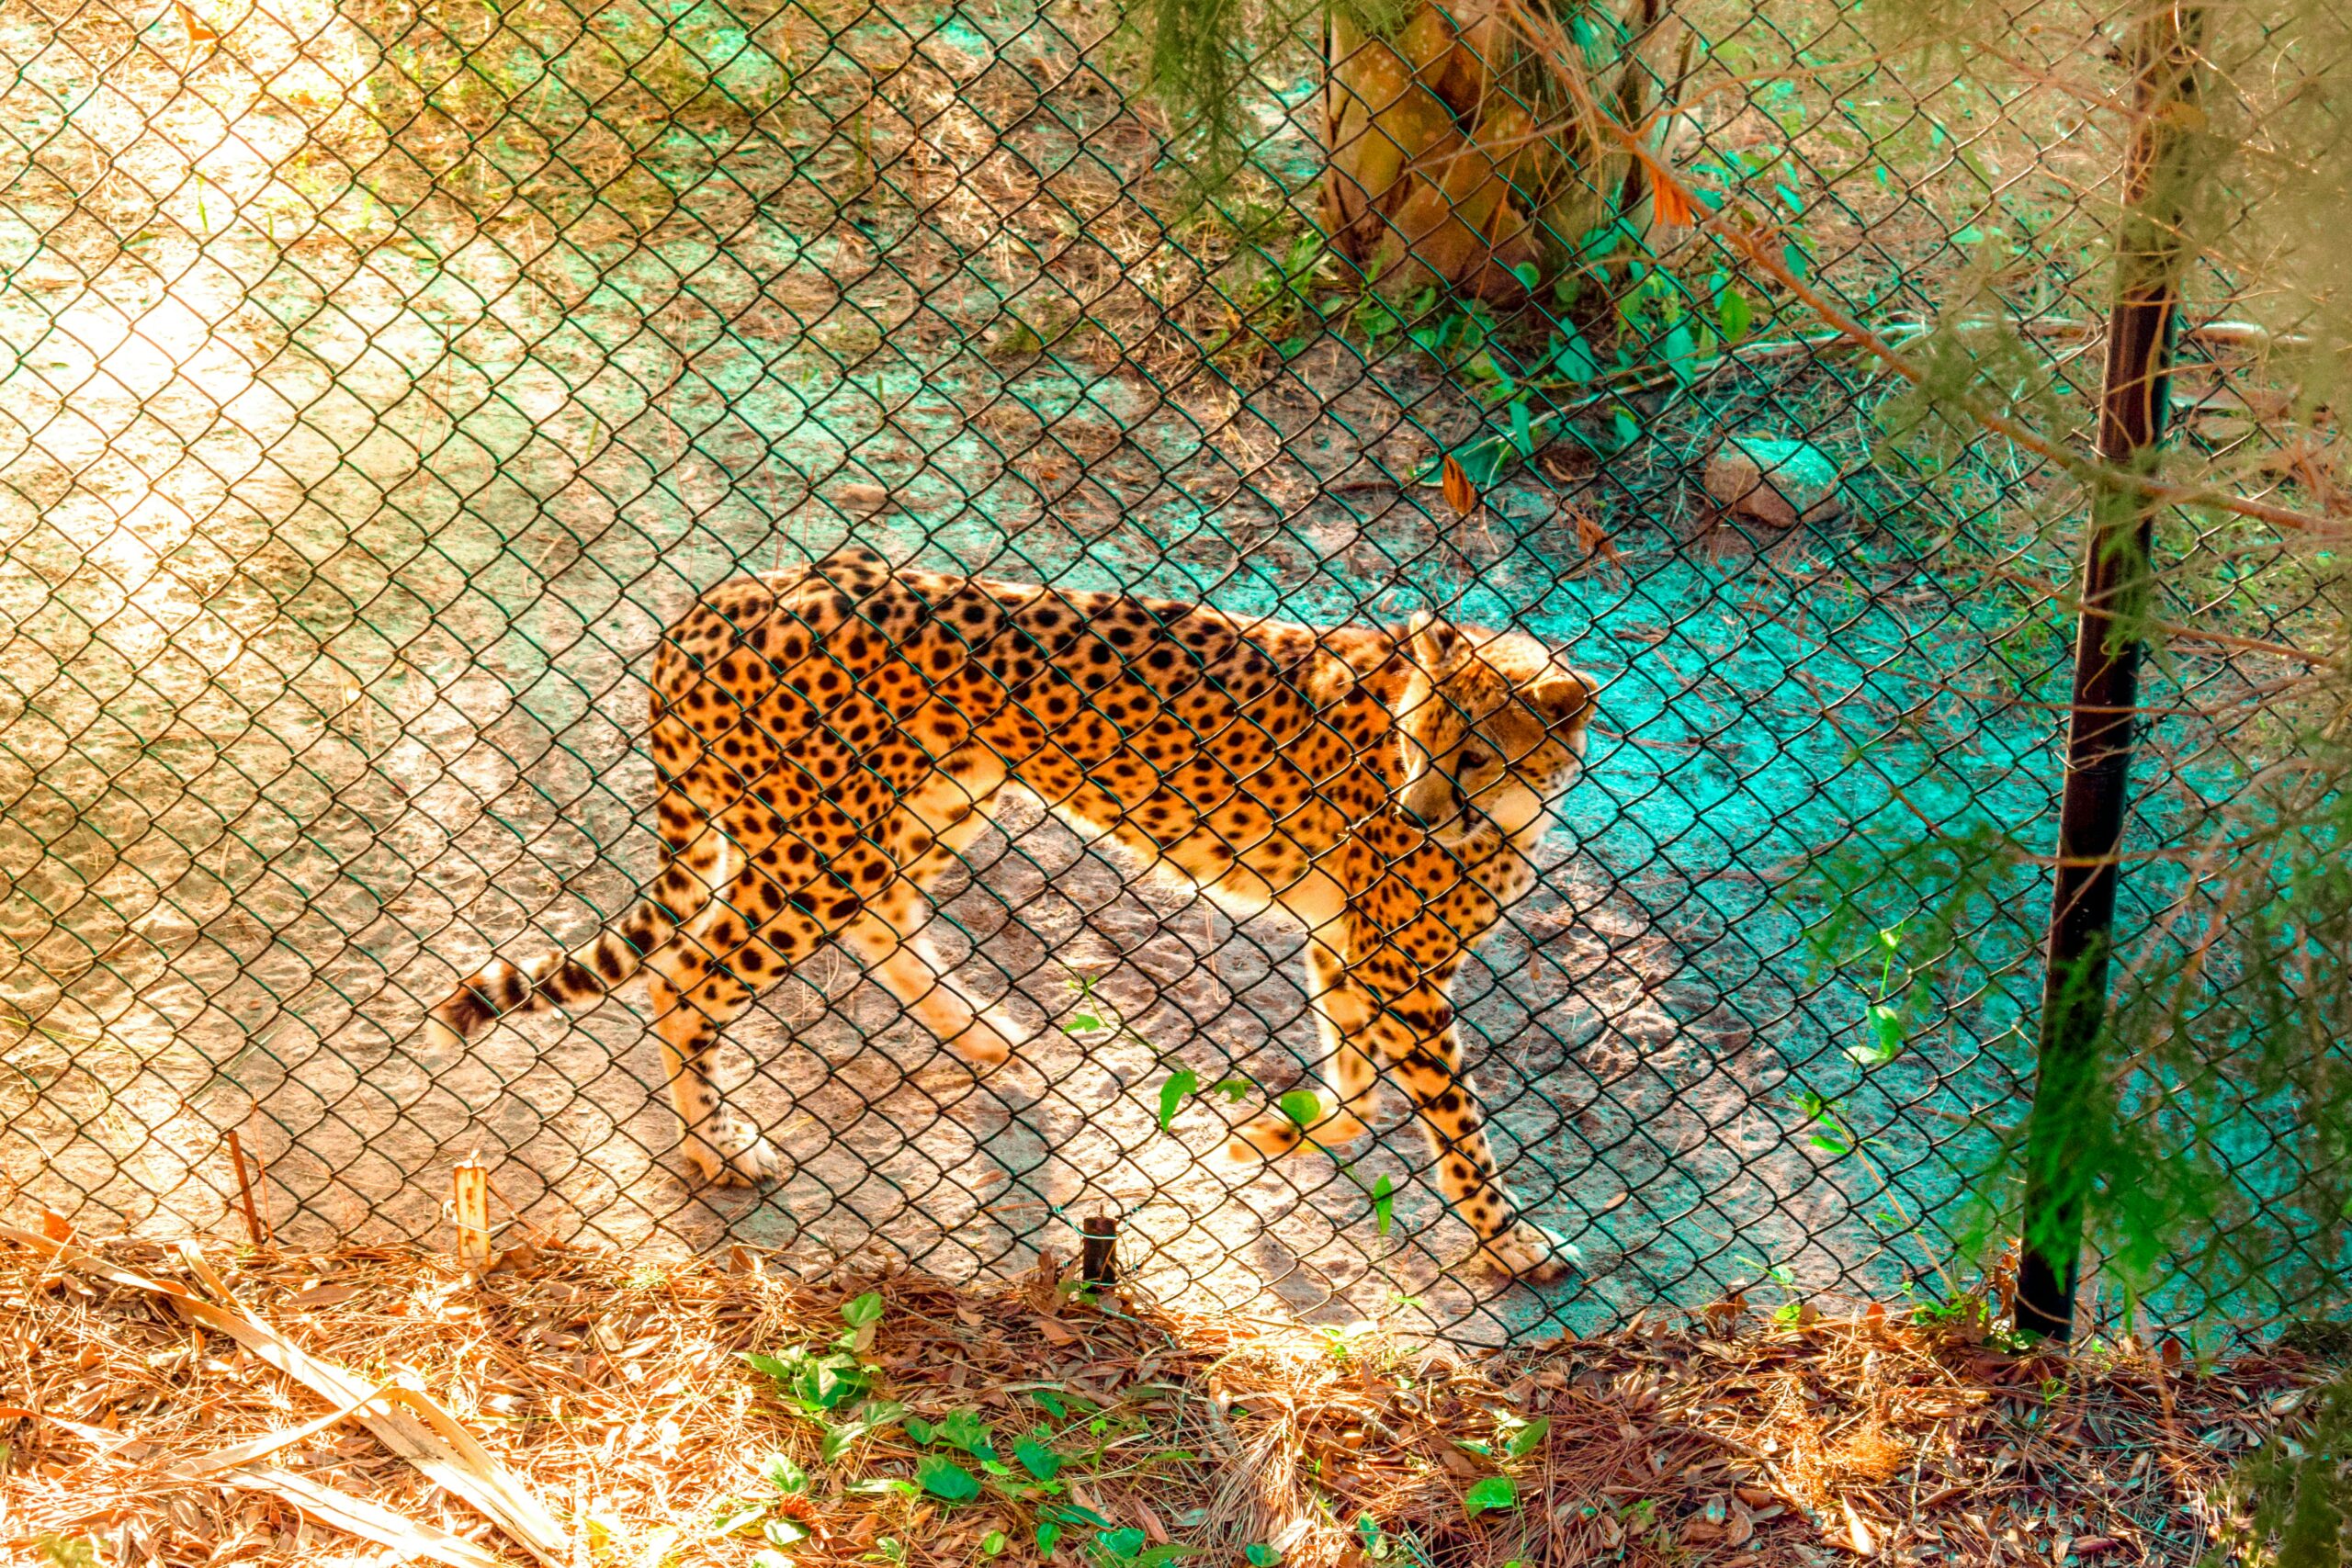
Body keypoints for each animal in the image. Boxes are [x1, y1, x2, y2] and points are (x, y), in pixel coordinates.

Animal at [427, 545, 1599, 1279]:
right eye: (1413, 742)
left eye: (1472, 754)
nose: (1414, 809)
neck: (1515, 805)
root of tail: (751, 586)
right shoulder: (1396, 965)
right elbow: (1455, 1122)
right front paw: (1511, 1245)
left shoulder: (1349, 948)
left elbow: (1352, 1080)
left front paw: (1274, 1136)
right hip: (819, 851)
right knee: (688, 977)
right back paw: (717, 1147)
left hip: (923, 807)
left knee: (882, 920)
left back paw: (986, 1034)